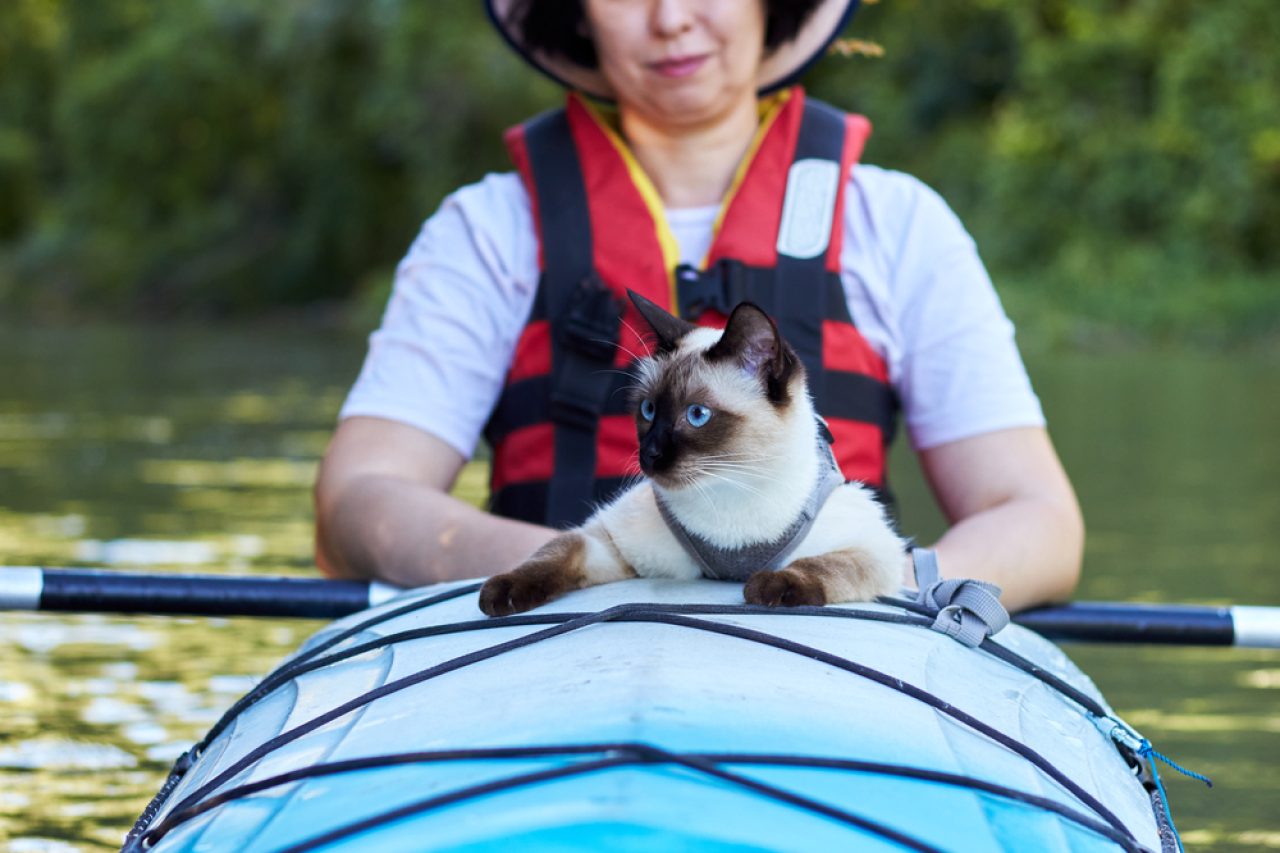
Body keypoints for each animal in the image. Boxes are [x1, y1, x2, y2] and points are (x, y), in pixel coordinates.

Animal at [476, 289, 906, 614]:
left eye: (697, 415)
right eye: (648, 410)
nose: (648, 454)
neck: (730, 490)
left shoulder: (880, 552)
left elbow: (822, 566)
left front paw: (768, 588)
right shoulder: (608, 541)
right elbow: (555, 552)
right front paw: (503, 593)